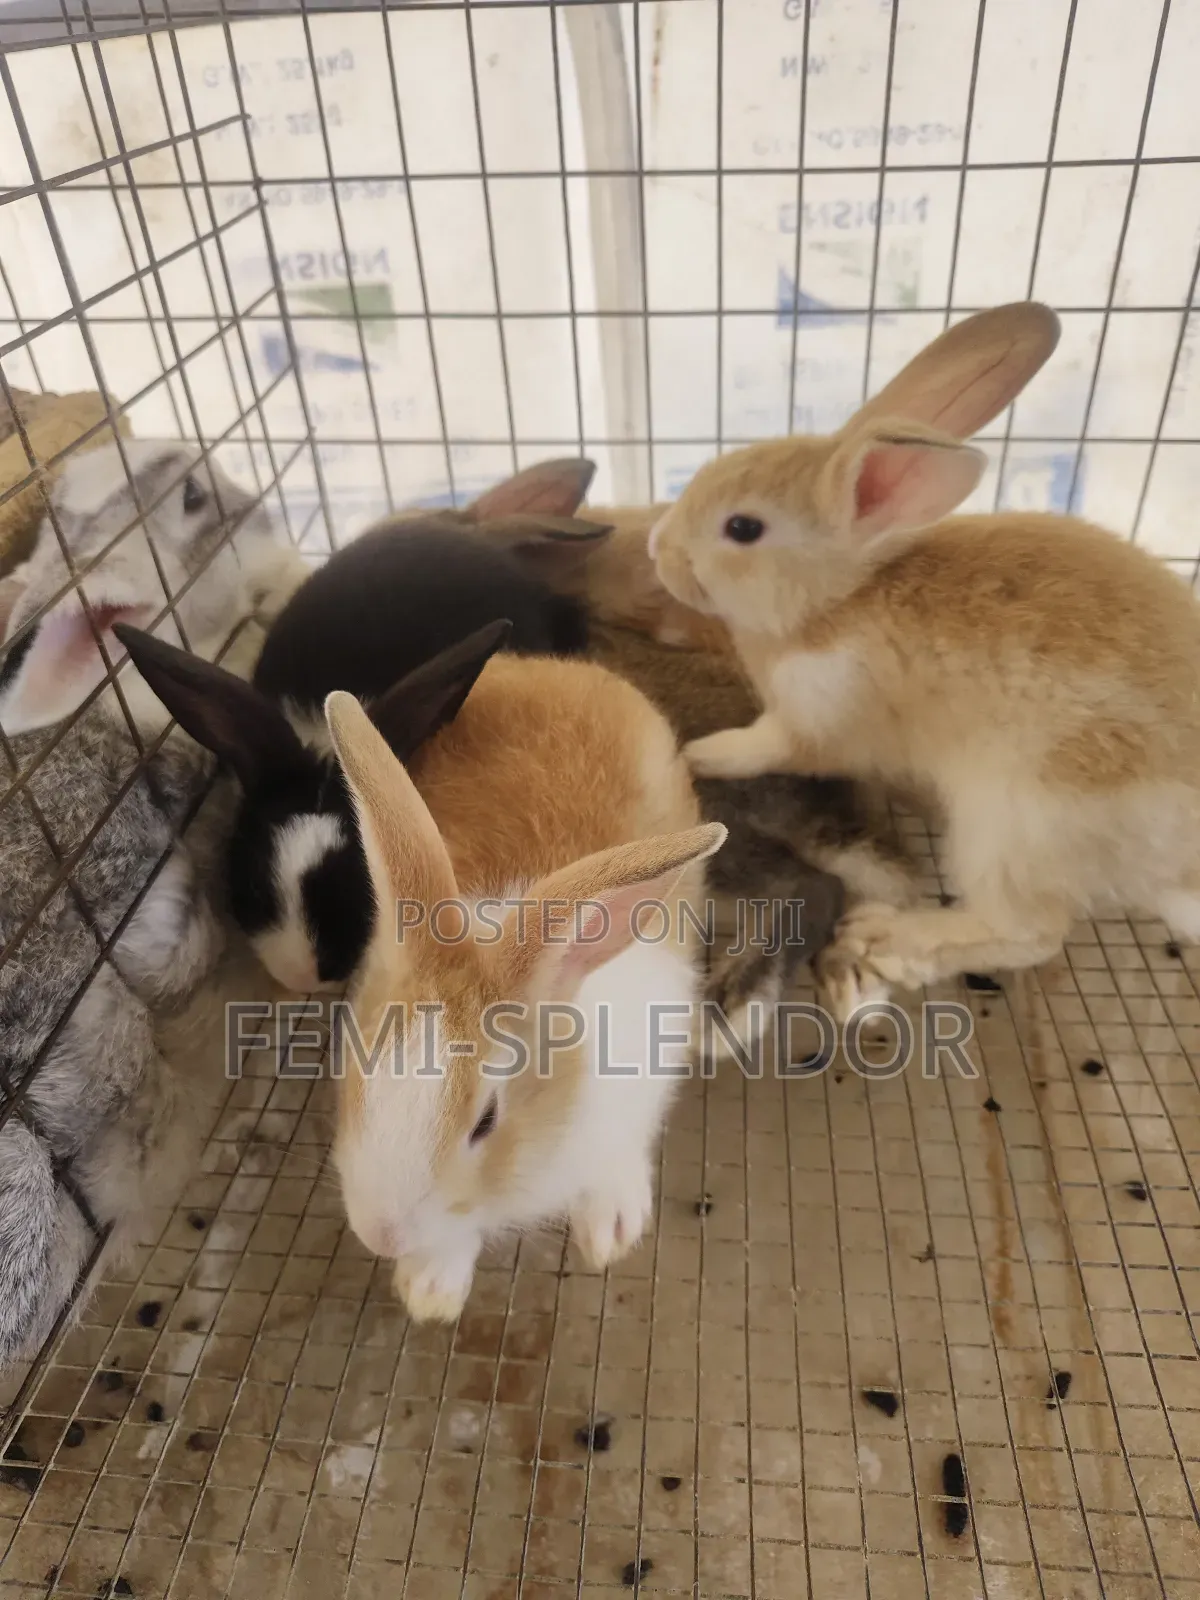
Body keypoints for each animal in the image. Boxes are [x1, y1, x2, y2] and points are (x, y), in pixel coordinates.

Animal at [322, 649, 726, 1322]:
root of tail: (541, 664)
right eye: (357, 1071)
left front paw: (611, 1229)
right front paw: (430, 1289)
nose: (381, 1234)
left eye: (486, 1122)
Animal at [644, 299, 1200, 1018]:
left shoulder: (816, 719)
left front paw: (703, 751)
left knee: (1030, 930)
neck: (840, 600)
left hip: (1015, 819)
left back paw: (888, 936)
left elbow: (766, 745)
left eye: (743, 528)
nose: (657, 548)